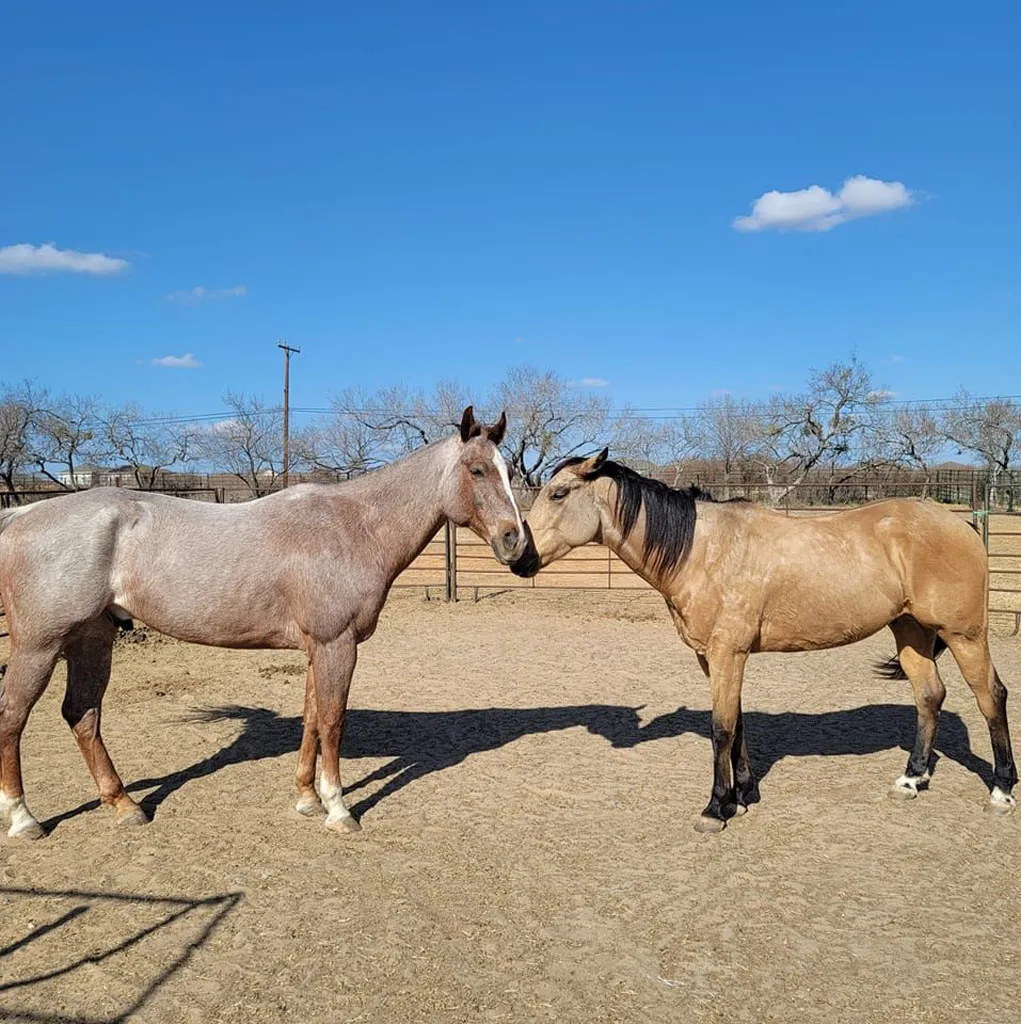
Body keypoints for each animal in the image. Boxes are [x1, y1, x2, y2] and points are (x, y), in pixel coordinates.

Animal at [0, 406, 527, 840]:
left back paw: (124, 806)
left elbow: (312, 719)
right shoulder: (337, 645)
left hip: (92, 640)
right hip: (39, 646)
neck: (354, 527)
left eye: (507, 470)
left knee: (82, 716)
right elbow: (333, 721)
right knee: (14, 715)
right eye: (477, 469)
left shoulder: (319, 648)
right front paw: (339, 809)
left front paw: (307, 799)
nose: (516, 541)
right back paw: (24, 819)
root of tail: (23, 513)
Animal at [510, 449, 1016, 832]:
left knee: (991, 697)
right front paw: (744, 793)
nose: (518, 555)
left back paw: (1001, 790)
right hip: (910, 630)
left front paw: (716, 807)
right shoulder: (714, 657)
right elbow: (737, 723)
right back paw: (912, 779)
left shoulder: (726, 653)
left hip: (965, 635)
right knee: (929, 695)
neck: (701, 550)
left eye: (558, 493)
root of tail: (960, 524)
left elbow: (721, 727)